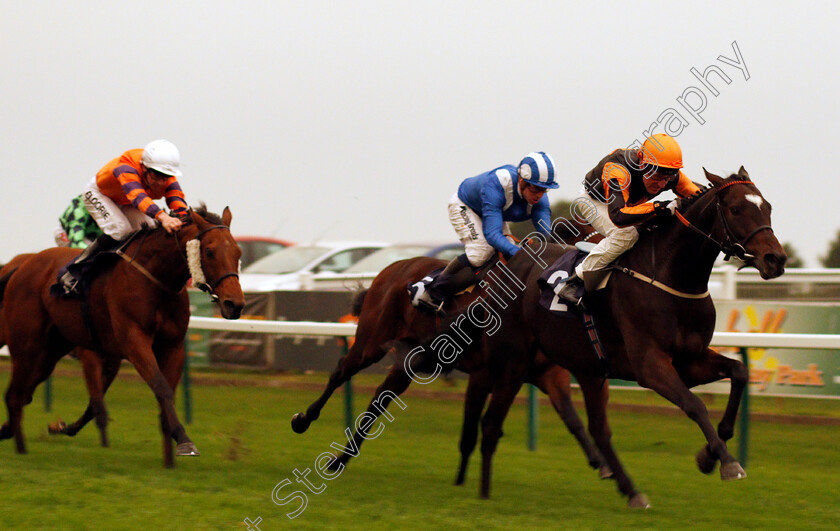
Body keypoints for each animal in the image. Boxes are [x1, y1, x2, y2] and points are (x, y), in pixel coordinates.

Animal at [0, 206, 243, 468]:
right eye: (209, 251)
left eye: (238, 252)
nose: (235, 304)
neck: (156, 277)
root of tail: (21, 265)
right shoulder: (133, 341)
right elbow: (161, 388)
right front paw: (185, 441)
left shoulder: (172, 346)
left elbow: (161, 395)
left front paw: (170, 457)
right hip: (26, 346)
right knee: (14, 395)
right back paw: (20, 447)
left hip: (49, 352)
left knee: (23, 393)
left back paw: (11, 433)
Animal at [290, 218, 612, 484]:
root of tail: (393, 267)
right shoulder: (484, 374)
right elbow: (469, 432)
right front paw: (462, 482)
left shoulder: (549, 375)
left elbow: (572, 419)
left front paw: (602, 463)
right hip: (371, 340)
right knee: (341, 371)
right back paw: (303, 421)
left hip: (412, 358)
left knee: (381, 397)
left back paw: (341, 459)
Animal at [400, 167, 788, 508]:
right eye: (736, 209)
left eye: (767, 206)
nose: (776, 259)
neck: (669, 274)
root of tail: (506, 266)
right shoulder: (651, 365)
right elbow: (694, 405)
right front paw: (727, 463)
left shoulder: (689, 360)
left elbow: (739, 373)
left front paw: (709, 455)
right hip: (512, 361)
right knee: (491, 423)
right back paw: (483, 492)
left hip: (587, 367)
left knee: (598, 430)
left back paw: (632, 492)